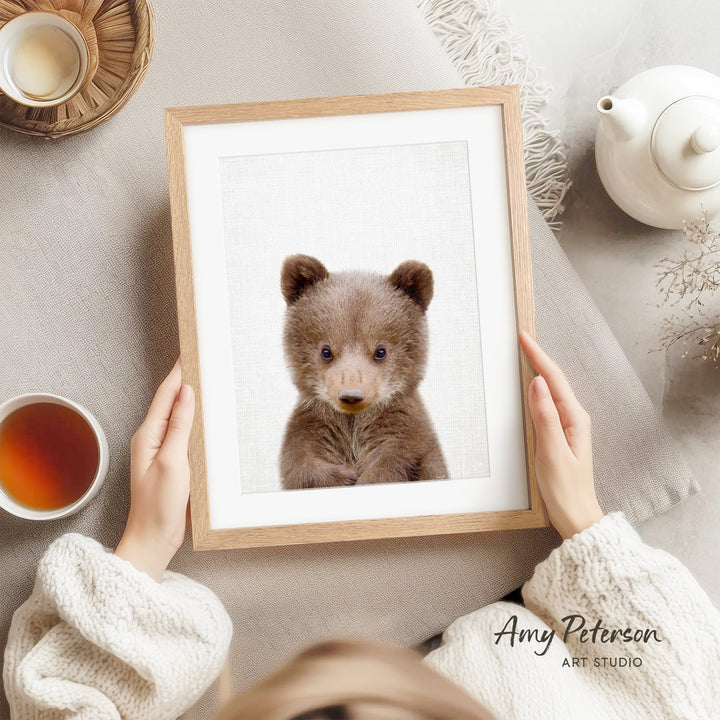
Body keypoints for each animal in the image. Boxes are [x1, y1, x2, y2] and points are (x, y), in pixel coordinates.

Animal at [279, 253, 448, 490]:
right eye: (326, 351)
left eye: (380, 351)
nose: (351, 395)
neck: (353, 424)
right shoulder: (312, 425)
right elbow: (300, 463)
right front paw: (346, 476)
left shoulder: (404, 431)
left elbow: (396, 459)